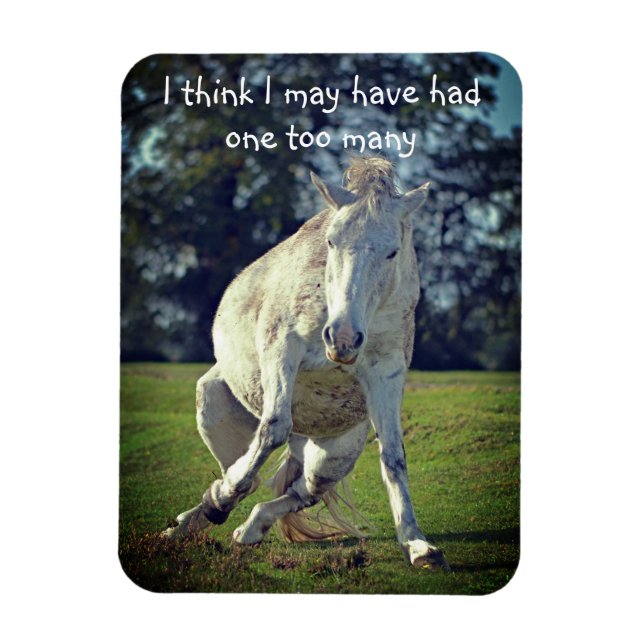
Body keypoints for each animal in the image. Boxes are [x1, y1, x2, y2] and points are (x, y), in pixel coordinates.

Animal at [164, 156, 449, 569]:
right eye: (331, 241)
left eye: (392, 252)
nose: (343, 339)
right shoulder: (282, 350)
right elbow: (272, 430)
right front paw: (221, 498)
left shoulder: (386, 373)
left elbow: (394, 456)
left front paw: (418, 545)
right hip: (213, 407)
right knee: (241, 472)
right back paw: (196, 516)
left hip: (330, 457)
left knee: (302, 491)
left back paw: (248, 530)